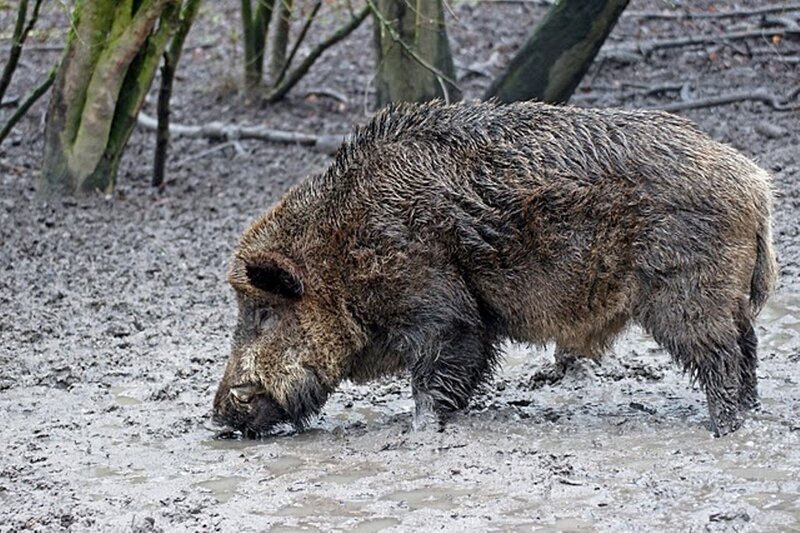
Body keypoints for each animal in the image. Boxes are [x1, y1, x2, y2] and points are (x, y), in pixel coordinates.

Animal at [212, 100, 777, 437]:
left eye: (262, 313)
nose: (218, 414)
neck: (340, 252)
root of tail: (753, 180)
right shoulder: (472, 322)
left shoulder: (438, 307)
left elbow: (436, 371)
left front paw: (418, 431)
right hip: (727, 294)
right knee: (747, 343)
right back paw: (749, 412)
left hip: (687, 291)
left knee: (721, 353)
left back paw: (725, 426)